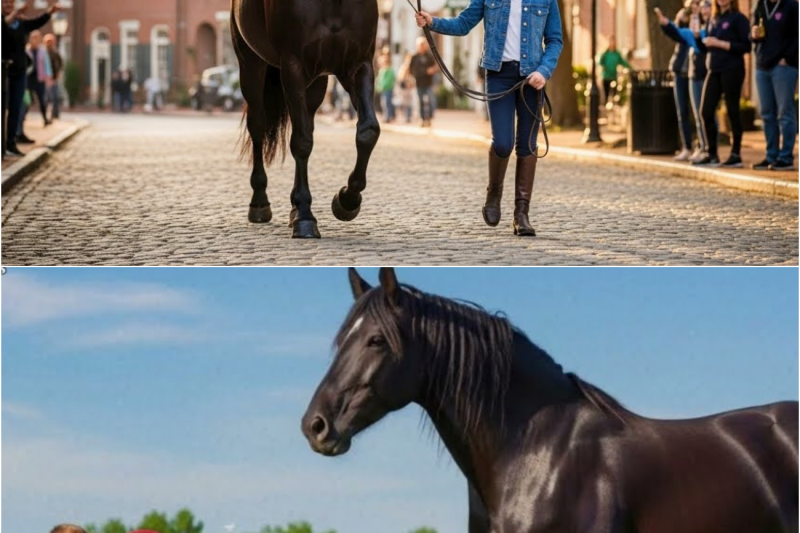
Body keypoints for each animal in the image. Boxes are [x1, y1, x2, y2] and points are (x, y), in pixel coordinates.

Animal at [230, 0, 380, 238]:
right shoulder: (293, 66)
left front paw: (346, 201)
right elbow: (301, 142)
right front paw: (305, 218)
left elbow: (368, 131)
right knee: (258, 127)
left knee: (305, 124)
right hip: (251, 66)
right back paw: (260, 203)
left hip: (315, 83)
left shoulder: (358, 65)